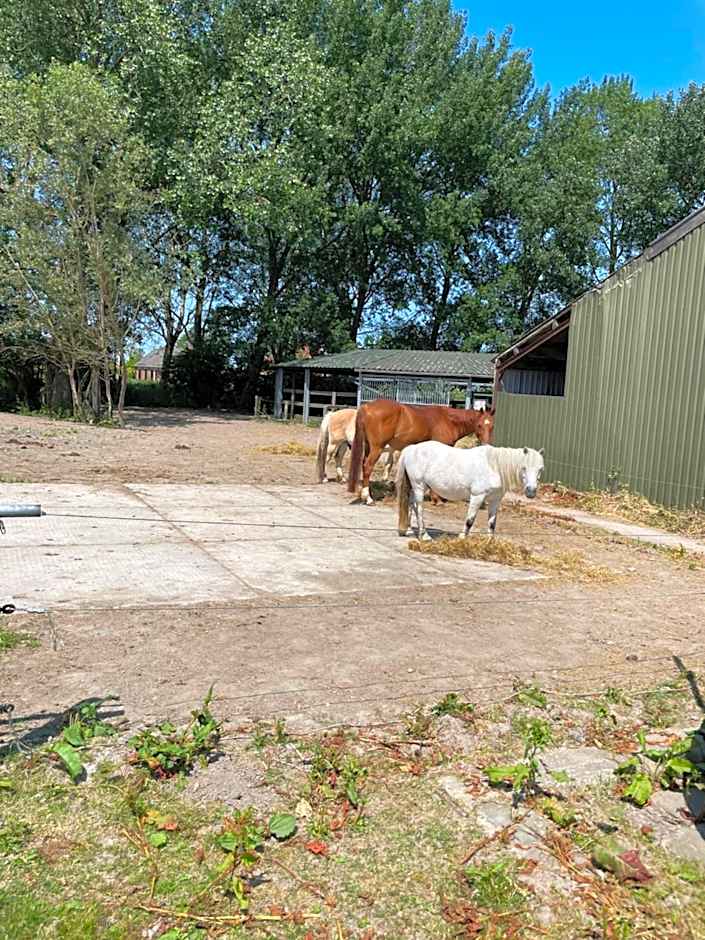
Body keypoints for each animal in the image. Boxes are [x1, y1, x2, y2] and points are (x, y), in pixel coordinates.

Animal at [347, 399, 494, 504]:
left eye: (492, 426)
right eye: (479, 425)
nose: (486, 445)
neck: (448, 420)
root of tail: (366, 407)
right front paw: (437, 499)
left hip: (368, 447)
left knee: (363, 465)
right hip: (377, 448)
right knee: (367, 467)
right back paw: (368, 498)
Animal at [396, 442, 544, 541]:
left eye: (541, 469)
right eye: (524, 468)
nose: (531, 492)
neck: (494, 467)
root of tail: (411, 449)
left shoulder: (495, 500)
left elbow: (492, 523)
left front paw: (490, 543)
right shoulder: (477, 497)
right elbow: (470, 520)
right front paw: (462, 538)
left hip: (420, 487)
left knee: (411, 504)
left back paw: (409, 530)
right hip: (419, 486)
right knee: (419, 508)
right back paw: (425, 536)